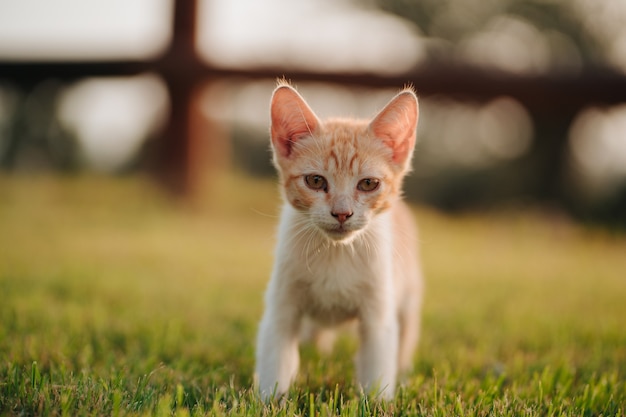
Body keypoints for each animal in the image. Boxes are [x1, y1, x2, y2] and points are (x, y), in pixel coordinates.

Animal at [255, 81, 424, 400]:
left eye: (368, 184)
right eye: (315, 181)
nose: (342, 213)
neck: (335, 252)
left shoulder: (378, 316)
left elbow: (378, 367)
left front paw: (378, 403)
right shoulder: (282, 308)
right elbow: (276, 358)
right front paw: (271, 401)